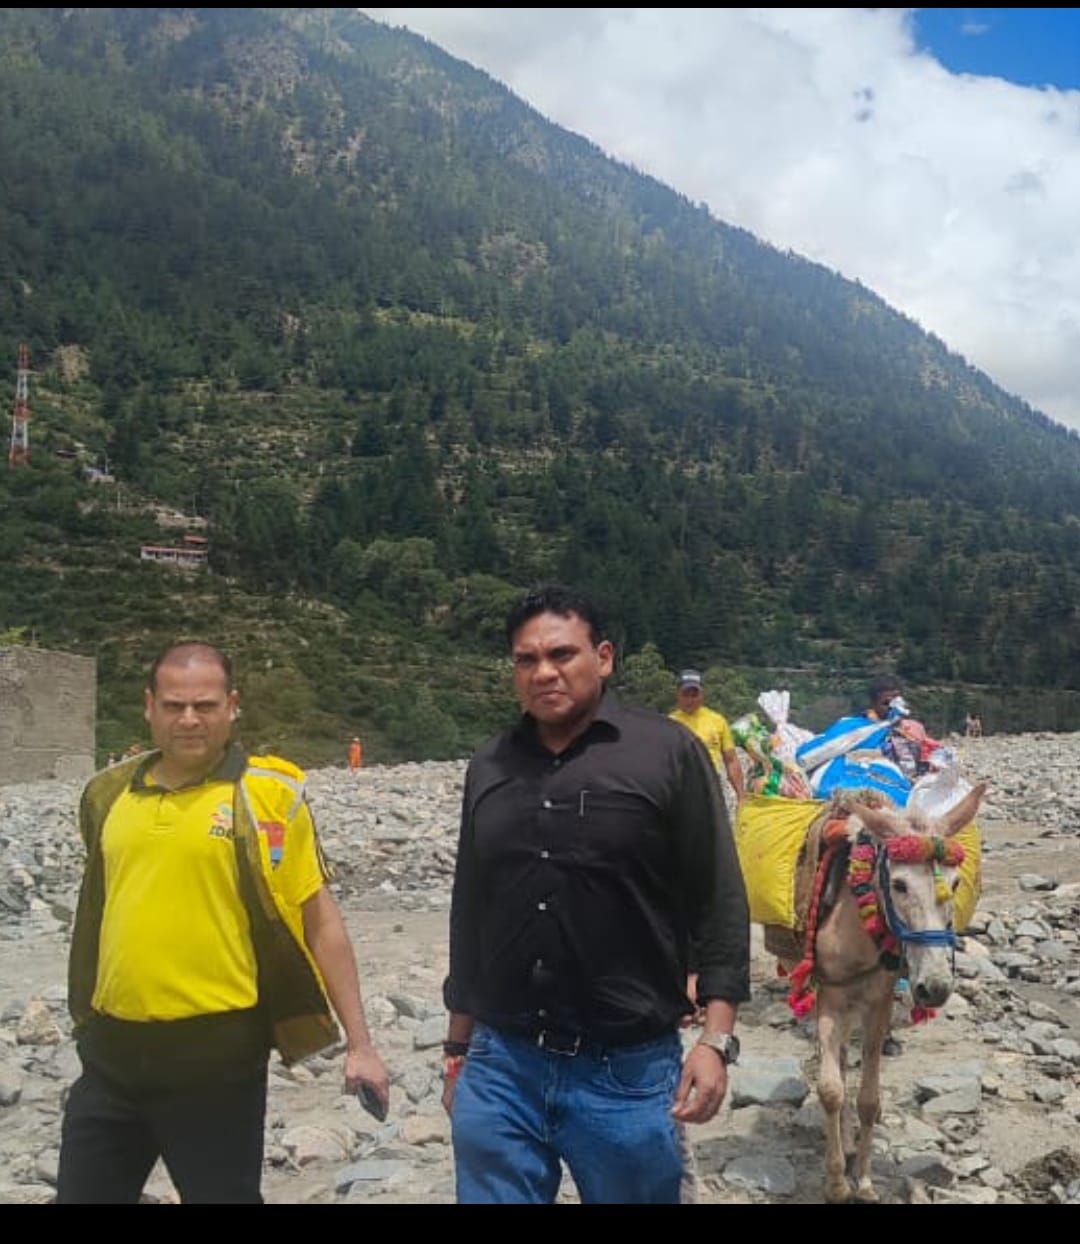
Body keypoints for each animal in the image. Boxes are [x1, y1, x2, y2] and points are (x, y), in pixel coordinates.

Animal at [783, 781, 987, 1204]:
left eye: (955, 883)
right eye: (899, 884)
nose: (935, 988)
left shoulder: (878, 1003)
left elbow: (869, 1099)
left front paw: (862, 1181)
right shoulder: (830, 999)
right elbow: (830, 1089)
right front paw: (836, 1183)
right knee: (839, 1063)